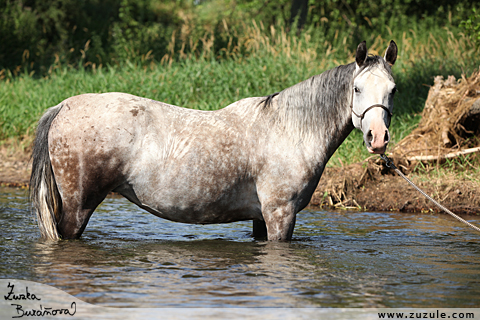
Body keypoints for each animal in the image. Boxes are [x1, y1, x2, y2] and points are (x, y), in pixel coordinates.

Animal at [29, 40, 398, 240]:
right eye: (357, 89)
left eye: (393, 89)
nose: (377, 138)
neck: (289, 130)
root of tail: (64, 106)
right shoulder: (280, 215)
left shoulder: (260, 218)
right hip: (78, 208)